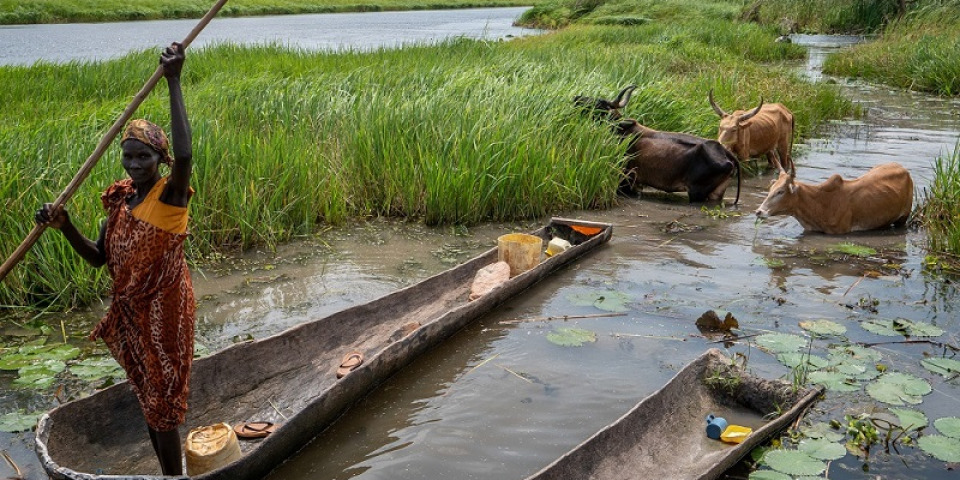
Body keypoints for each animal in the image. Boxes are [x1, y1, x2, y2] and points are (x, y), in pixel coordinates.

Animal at [576, 85, 744, 204]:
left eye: (598, 105)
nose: (576, 98)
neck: (621, 131)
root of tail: (726, 154)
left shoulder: (626, 180)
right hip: (716, 193)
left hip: (697, 193)